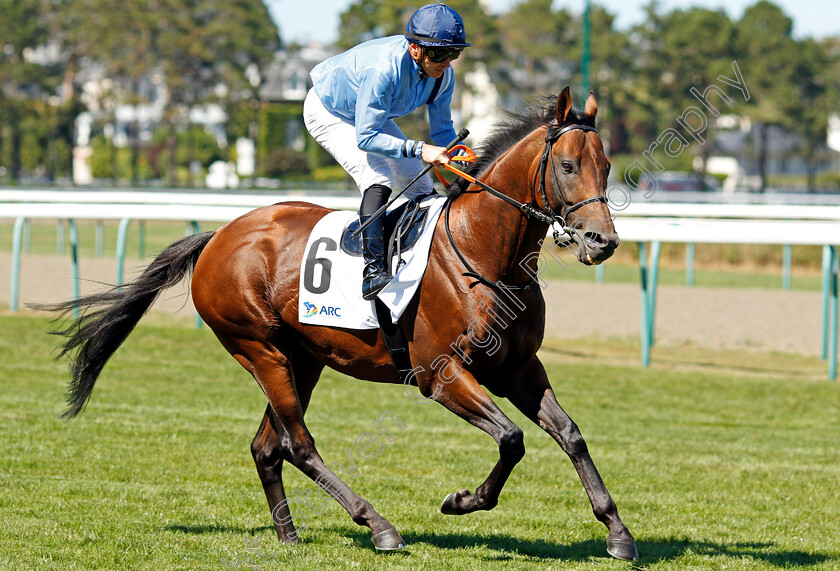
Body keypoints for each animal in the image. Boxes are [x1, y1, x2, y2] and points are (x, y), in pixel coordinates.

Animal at [42, 89, 636, 564]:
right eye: (567, 166)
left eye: (607, 165)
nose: (602, 241)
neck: (482, 255)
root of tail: (218, 236)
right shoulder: (440, 375)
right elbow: (512, 439)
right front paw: (462, 501)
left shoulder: (518, 368)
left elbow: (570, 435)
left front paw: (618, 533)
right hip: (258, 348)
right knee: (298, 444)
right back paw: (379, 526)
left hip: (300, 358)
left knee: (267, 446)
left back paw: (289, 535)